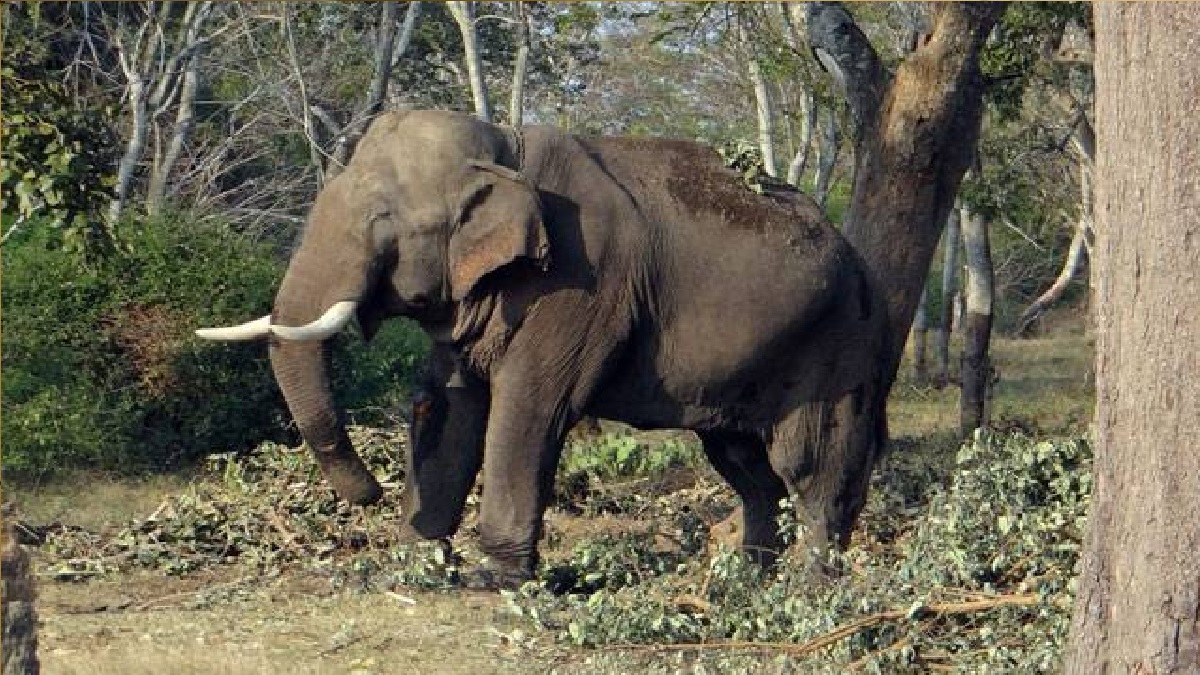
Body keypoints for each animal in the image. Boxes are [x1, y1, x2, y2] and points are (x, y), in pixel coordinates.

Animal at [196, 109, 892, 583]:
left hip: (837, 349)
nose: (369, 493)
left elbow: (529, 405)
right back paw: (747, 581)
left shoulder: (581, 282)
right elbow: (451, 404)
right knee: (745, 466)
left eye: (384, 224)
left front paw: (492, 579)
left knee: (811, 464)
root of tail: (865, 269)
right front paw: (416, 567)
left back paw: (808, 587)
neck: (507, 147)